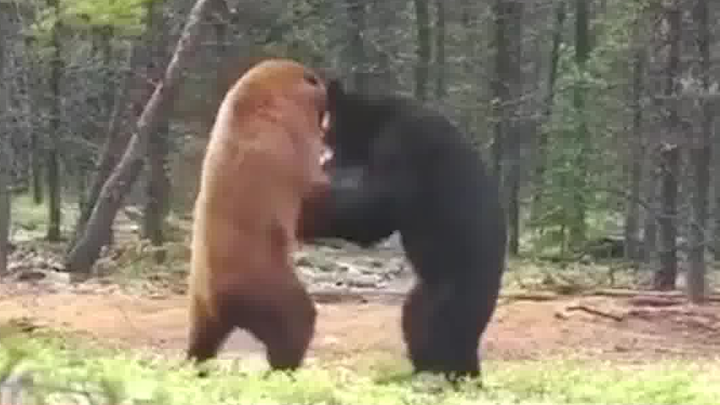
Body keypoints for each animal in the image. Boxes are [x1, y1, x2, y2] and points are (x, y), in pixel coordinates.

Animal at [186, 58, 331, 372]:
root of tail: (221, 305)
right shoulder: (290, 138)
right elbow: (312, 187)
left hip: (201, 301)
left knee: (201, 339)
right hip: (266, 284)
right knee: (295, 321)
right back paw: (285, 366)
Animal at [298, 79, 508, 382]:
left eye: (327, 130)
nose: (325, 158)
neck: (377, 123)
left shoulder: (402, 146)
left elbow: (376, 210)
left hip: (454, 288)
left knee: (437, 328)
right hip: (428, 289)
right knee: (414, 320)